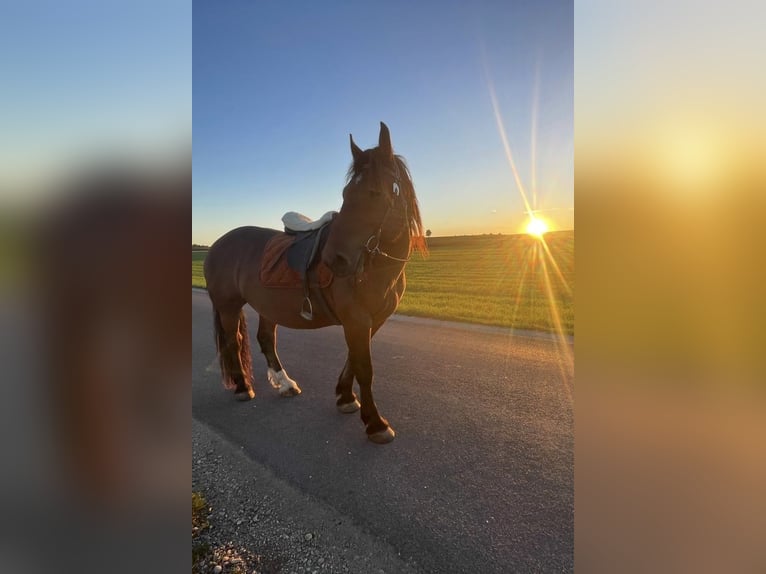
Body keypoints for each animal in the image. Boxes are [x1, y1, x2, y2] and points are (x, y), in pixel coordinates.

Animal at [204, 122, 426, 444]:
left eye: (374, 192)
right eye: (346, 192)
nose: (335, 260)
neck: (377, 267)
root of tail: (217, 245)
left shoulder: (373, 319)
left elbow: (353, 360)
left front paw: (345, 397)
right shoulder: (357, 319)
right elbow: (364, 367)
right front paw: (375, 423)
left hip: (266, 307)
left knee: (265, 339)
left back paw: (285, 384)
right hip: (228, 306)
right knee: (234, 342)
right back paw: (244, 388)